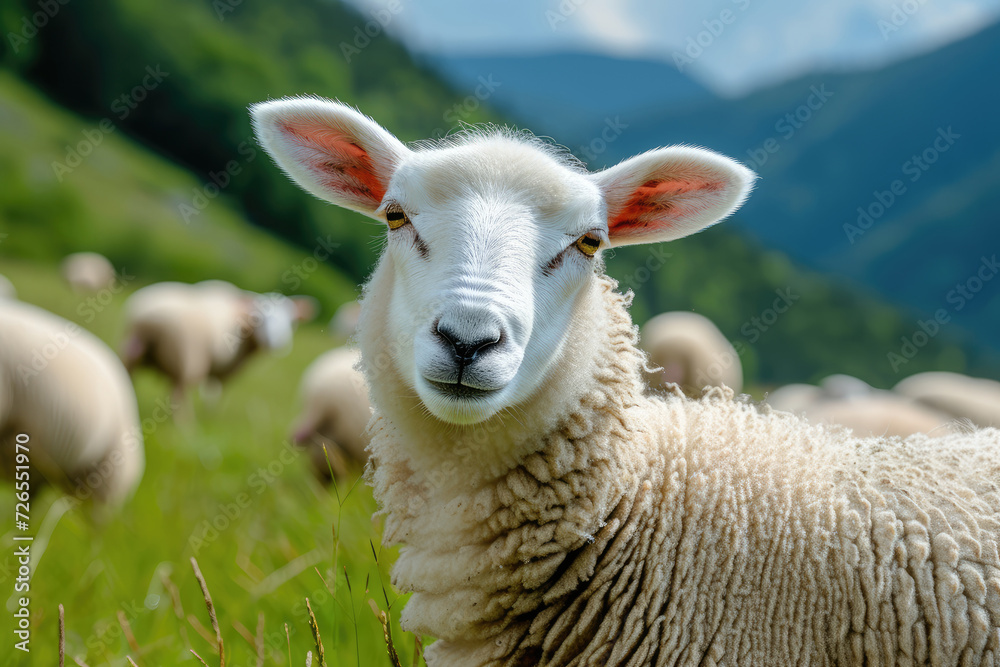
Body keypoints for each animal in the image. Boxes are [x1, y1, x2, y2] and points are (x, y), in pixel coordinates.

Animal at [121, 280, 315, 404]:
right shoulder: (226, 369)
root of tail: (147, 319)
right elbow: (216, 392)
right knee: (179, 395)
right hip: (186, 360)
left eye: (291, 321)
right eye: (257, 318)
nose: (276, 343)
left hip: (132, 354)